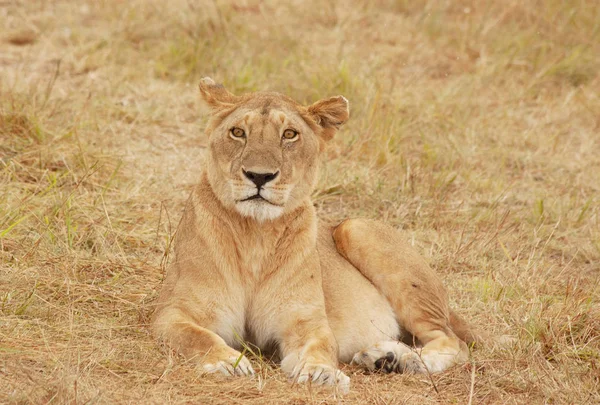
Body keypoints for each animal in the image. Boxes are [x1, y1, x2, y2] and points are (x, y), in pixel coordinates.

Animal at [152, 77, 480, 390]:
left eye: (289, 135)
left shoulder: (306, 321)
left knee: (453, 341)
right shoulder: (172, 313)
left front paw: (322, 374)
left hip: (355, 228)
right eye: (237, 132)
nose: (259, 176)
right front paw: (226, 363)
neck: (256, 235)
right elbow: (196, 336)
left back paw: (404, 360)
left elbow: (320, 347)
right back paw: (385, 357)